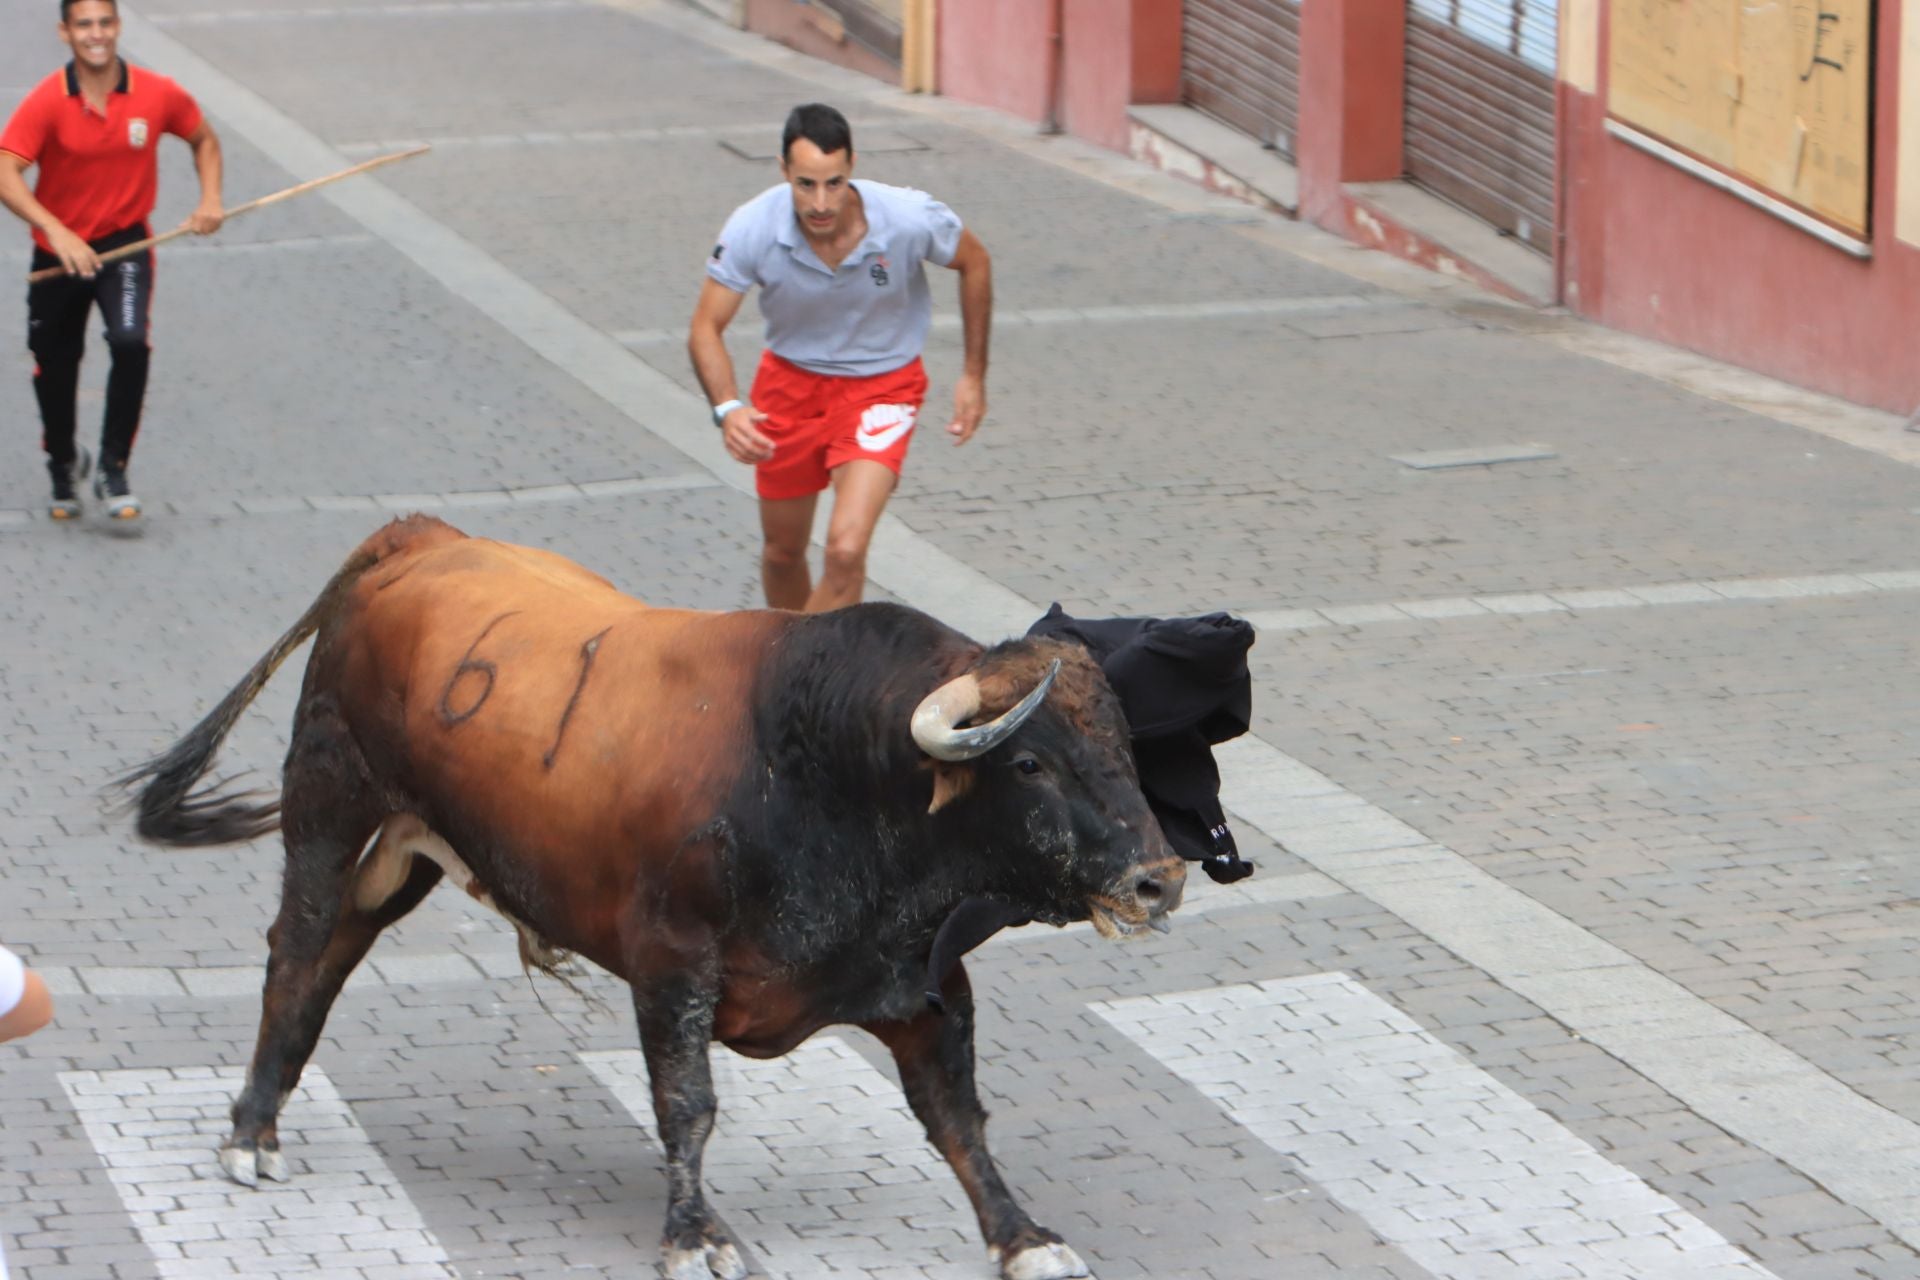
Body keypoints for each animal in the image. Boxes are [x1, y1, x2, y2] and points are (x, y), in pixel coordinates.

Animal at [123, 514, 1182, 1280]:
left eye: (1122, 744)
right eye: (1032, 762)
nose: (1159, 879)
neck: (824, 769)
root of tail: (418, 536)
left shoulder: (921, 980)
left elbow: (957, 1114)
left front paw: (1022, 1234)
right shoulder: (671, 964)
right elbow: (689, 1102)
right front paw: (694, 1232)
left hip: (410, 848)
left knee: (337, 952)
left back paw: (263, 1112)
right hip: (329, 801)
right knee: (297, 947)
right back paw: (250, 1132)